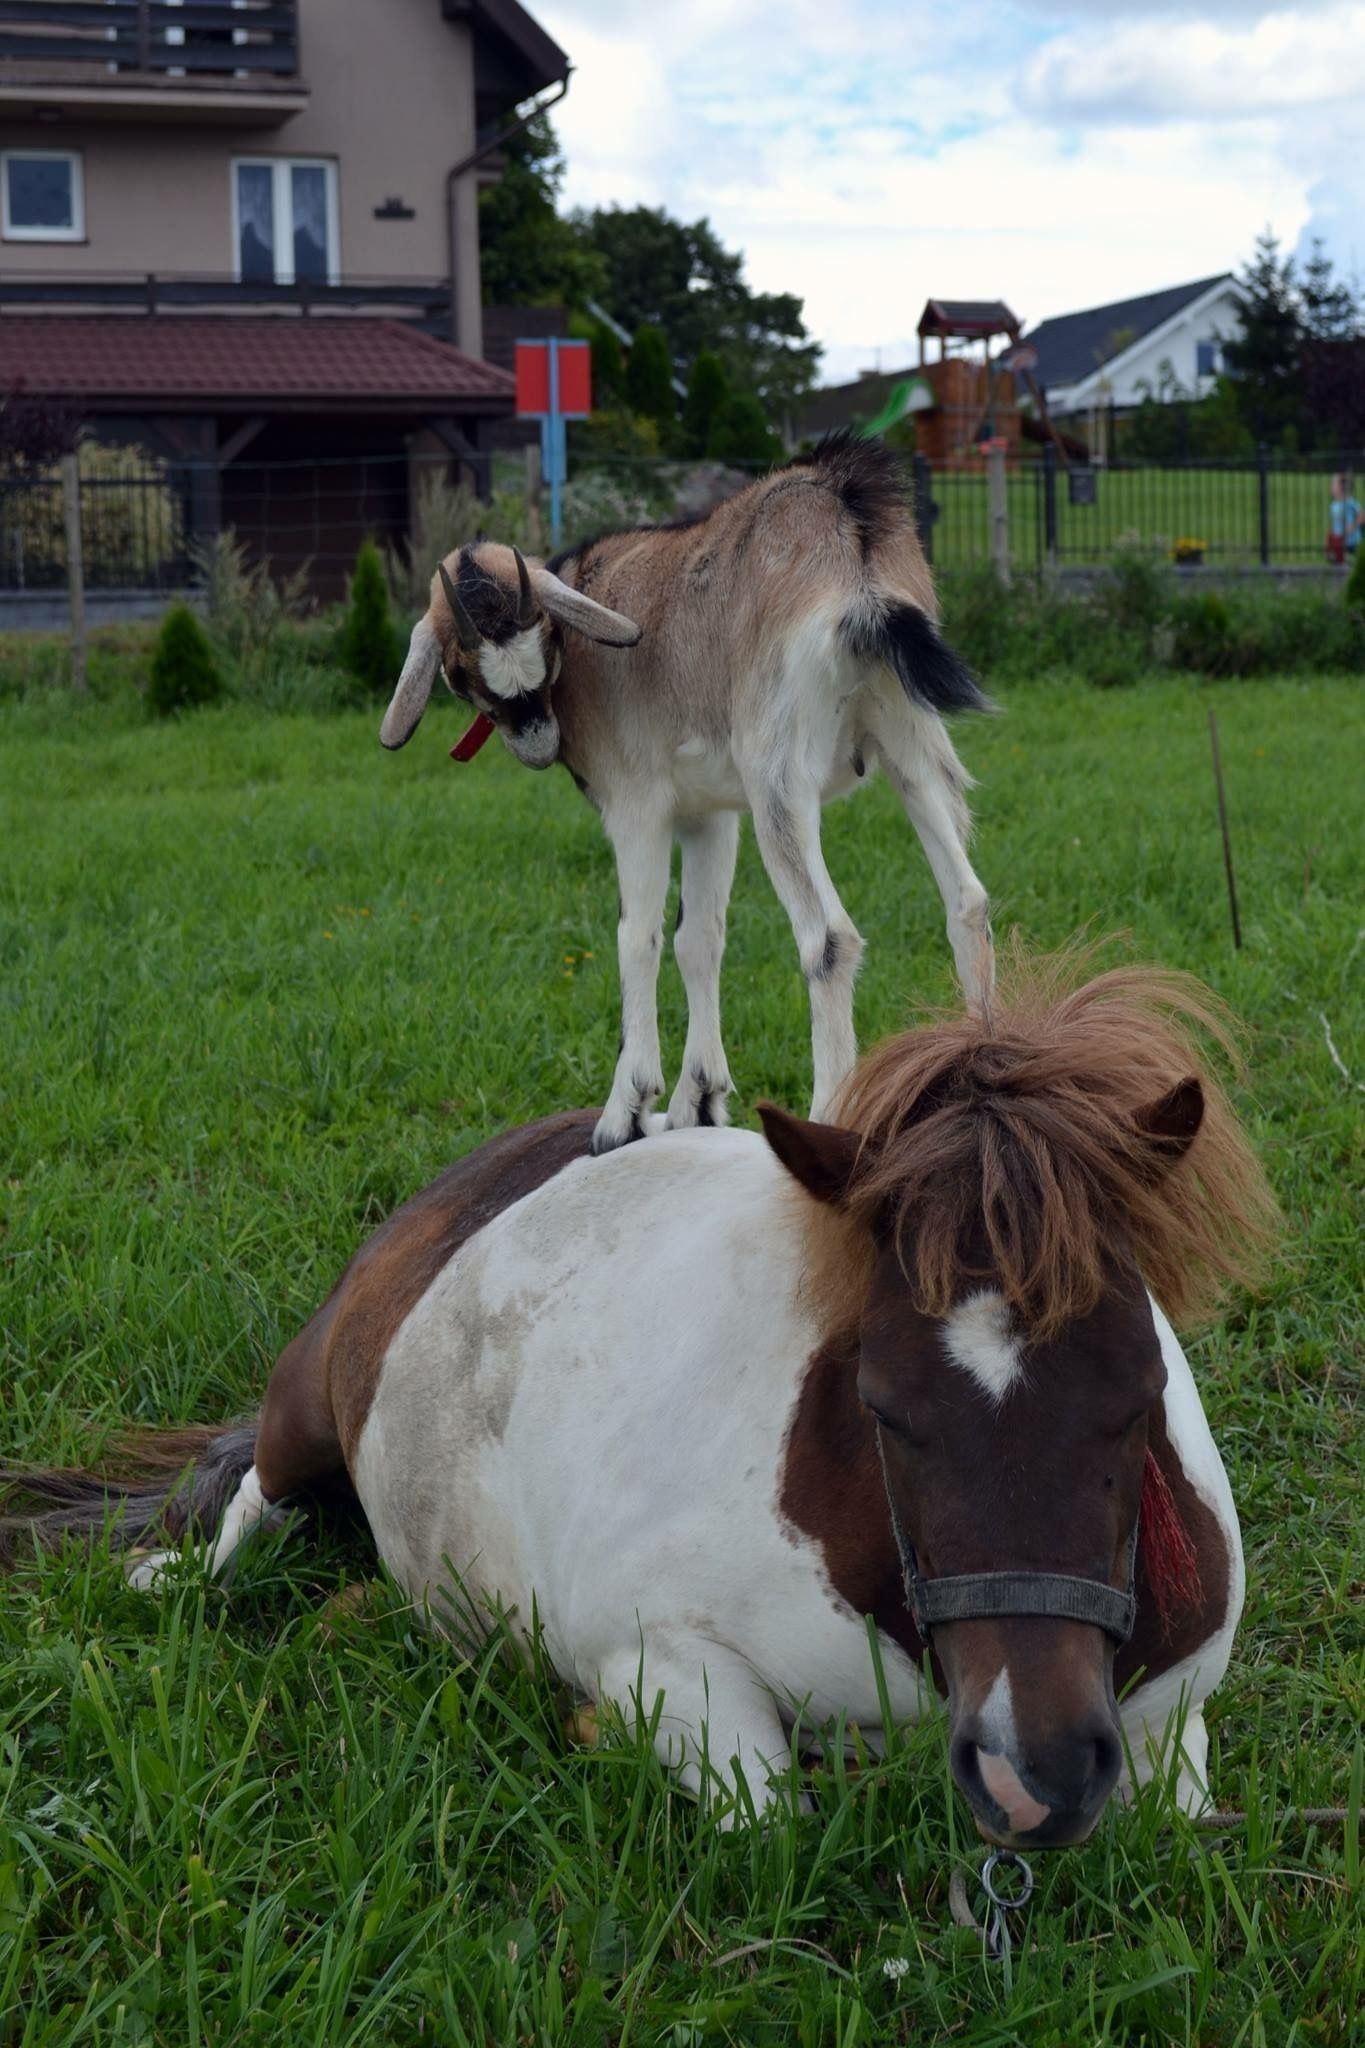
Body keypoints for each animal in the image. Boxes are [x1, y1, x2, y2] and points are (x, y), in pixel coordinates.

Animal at [1, 954, 1274, 1848]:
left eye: (1140, 1393)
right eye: (884, 1406)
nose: (1035, 1773)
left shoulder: (1169, 1725)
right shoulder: (663, 1666)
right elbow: (767, 1818)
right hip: (307, 1410)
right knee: (253, 1504)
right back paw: (180, 1576)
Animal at [380, 434, 994, 1154]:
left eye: (547, 643)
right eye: (461, 668)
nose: (536, 742)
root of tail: (850, 532)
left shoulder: (635, 806)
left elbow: (637, 936)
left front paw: (625, 1110)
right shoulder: (709, 817)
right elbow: (698, 938)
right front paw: (697, 1100)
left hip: (777, 775)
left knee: (829, 938)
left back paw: (825, 1117)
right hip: (910, 742)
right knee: (967, 903)